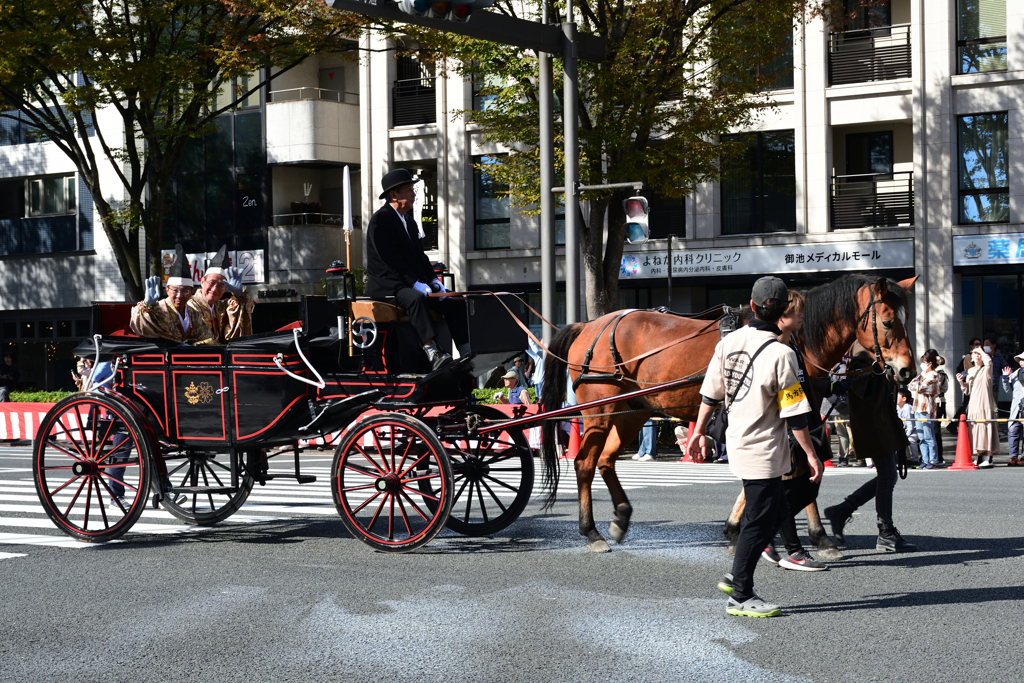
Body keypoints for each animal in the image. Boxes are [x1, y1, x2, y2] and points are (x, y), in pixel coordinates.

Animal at [540, 274, 917, 552]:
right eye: (887, 322)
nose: (907, 372)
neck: (791, 338)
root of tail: (589, 325)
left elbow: (791, 470)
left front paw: (749, 527)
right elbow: (791, 470)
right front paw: (809, 535)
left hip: (633, 410)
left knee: (605, 460)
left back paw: (620, 518)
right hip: (600, 409)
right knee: (585, 463)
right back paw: (591, 531)